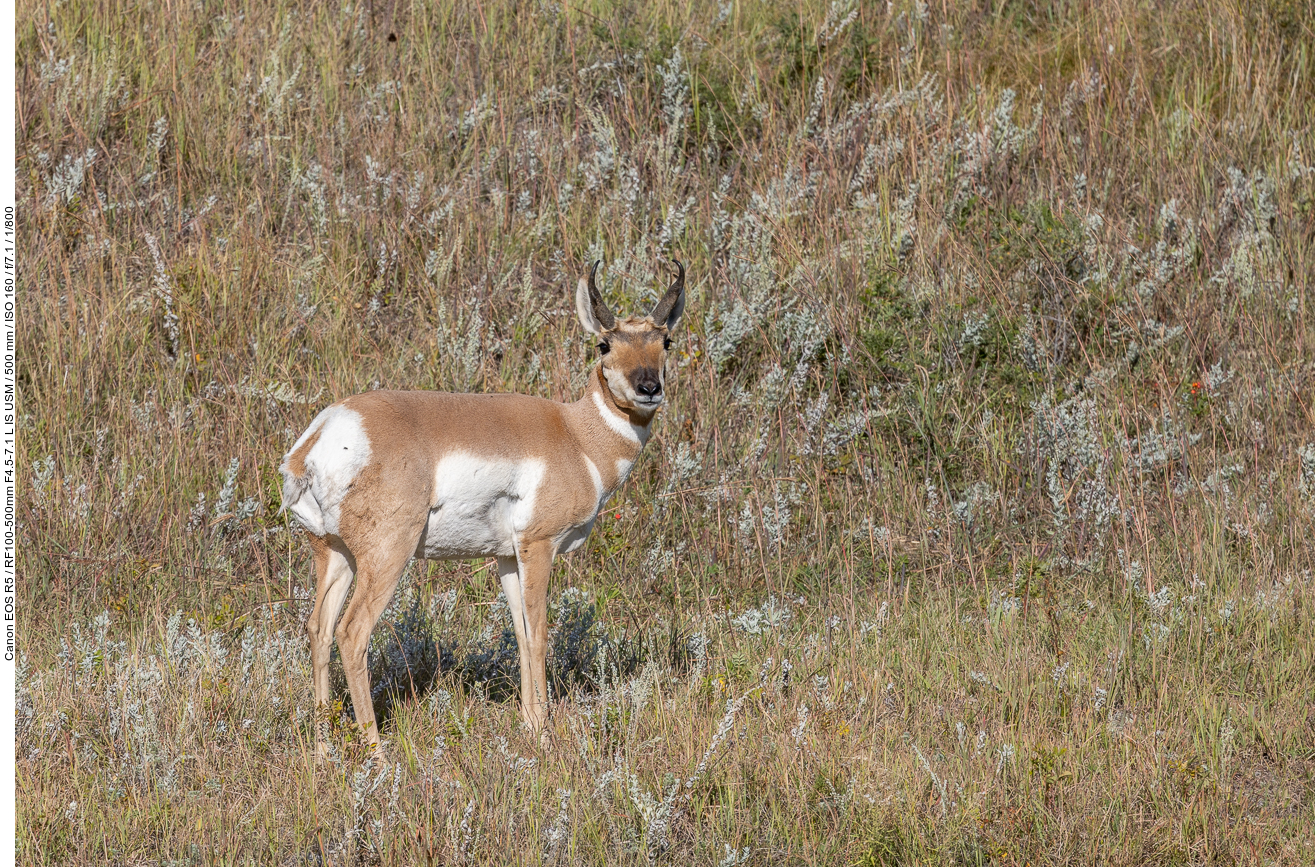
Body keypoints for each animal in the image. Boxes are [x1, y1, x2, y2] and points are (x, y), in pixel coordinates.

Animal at [278, 259, 689, 752]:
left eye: (665, 341)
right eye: (604, 344)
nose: (648, 387)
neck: (576, 435)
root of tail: (321, 436)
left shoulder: (506, 558)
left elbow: (521, 633)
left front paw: (530, 726)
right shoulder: (538, 546)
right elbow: (540, 635)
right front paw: (545, 735)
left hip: (333, 553)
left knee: (318, 630)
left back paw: (322, 751)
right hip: (387, 557)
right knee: (351, 633)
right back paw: (377, 753)